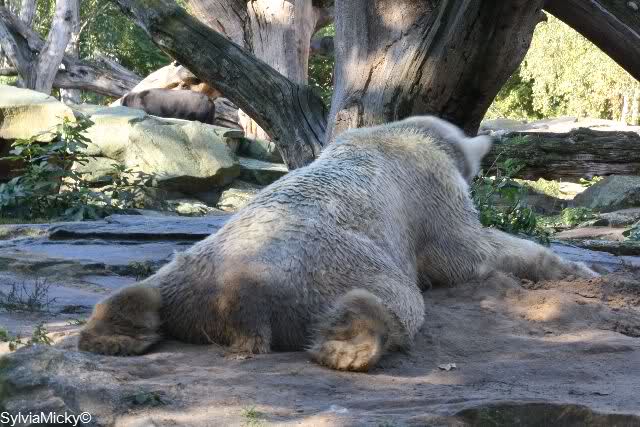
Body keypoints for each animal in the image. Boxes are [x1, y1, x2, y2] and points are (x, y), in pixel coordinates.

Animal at [78, 116, 597, 371]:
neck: (400, 133)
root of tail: (239, 298)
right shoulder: (433, 193)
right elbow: (468, 252)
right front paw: (577, 269)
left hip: (191, 269)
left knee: (155, 284)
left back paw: (116, 328)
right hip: (339, 268)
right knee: (396, 301)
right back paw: (351, 342)